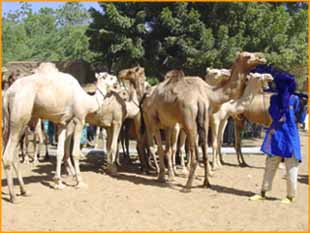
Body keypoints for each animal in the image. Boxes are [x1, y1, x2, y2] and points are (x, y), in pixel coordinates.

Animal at [2, 62, 109, 203]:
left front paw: (59, 182)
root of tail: (8, 94)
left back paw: (24, 191)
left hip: (10, 121)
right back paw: (13, 196)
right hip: (20, 117)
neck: (85, 100)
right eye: (107, 76)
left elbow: (60, 152)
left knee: (13, 153)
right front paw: (79, 181)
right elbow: (74, 152)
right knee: (8, 155)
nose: (116, 80)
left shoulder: (62, 122)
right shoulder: (79, 119)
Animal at [141, 51, 266, 191]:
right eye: (247, 56)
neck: (209, 94)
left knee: (170, 148)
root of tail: (147, 96)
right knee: (156, 146)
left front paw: (206, 180)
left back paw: (176, 178)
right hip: (153, 120)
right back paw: (173, 179)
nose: (262, 57)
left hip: (171, 123)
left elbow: (203, 148)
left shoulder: (203, 119)